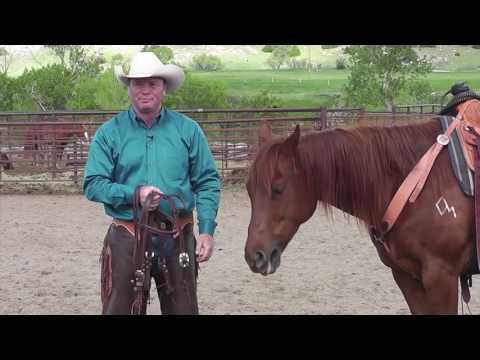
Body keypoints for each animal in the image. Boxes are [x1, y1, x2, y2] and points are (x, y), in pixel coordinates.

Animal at [246, 116, 474, 314]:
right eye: (249, 190)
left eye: (277, 189)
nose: (254, 256)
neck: (419, 185)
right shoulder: (406, 276)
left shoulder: (441, 277)